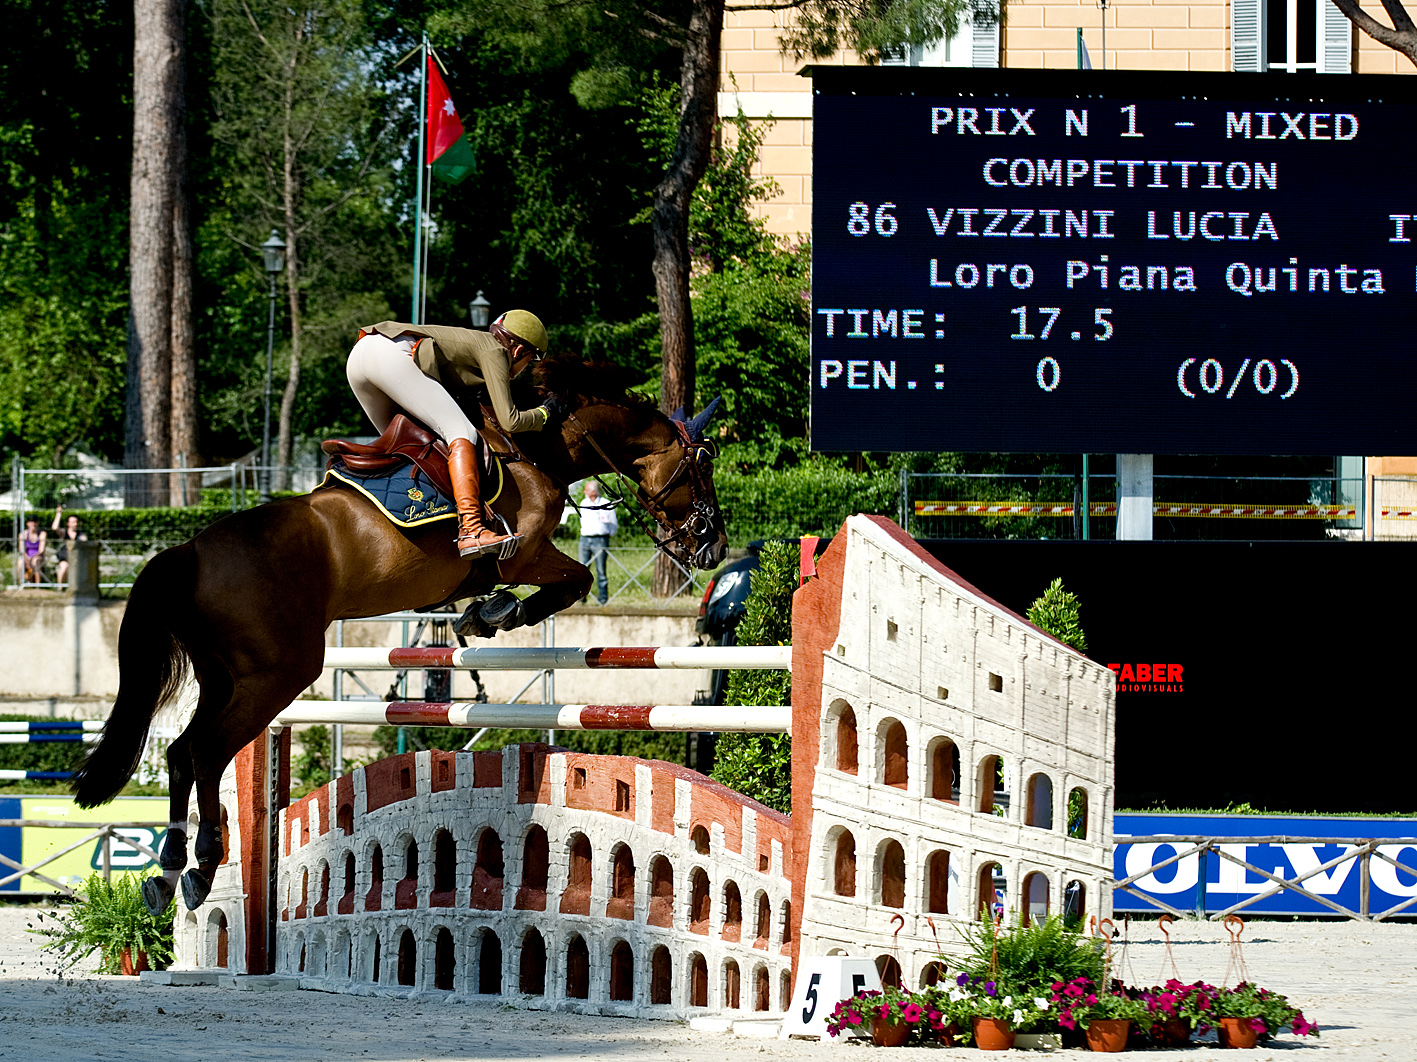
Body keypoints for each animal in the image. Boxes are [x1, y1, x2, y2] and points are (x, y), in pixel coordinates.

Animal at [71, 358, 725, 913]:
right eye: (703, 464)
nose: (713, 545)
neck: (535, 449)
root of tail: (189, 551)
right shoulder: (523, 553)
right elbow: (576, 578)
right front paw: (493, 613)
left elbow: (564, 581)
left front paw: (483, 614)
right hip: (277, 674)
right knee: (204, 752)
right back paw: (202, 866)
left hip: (225, 677)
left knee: (181, 753)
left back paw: (167, 871)